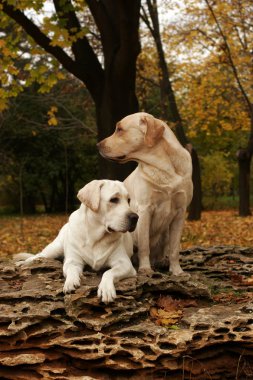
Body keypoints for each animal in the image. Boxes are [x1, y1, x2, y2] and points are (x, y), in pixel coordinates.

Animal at [98, 111, 193, 274]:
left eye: (119, 129)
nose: (97, 145)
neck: (164, 167)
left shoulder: (181, 212)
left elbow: (174, 249)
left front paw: (177, 271)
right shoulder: (144, 209)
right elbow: (144, 245)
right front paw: (145, 269)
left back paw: (162, 262)